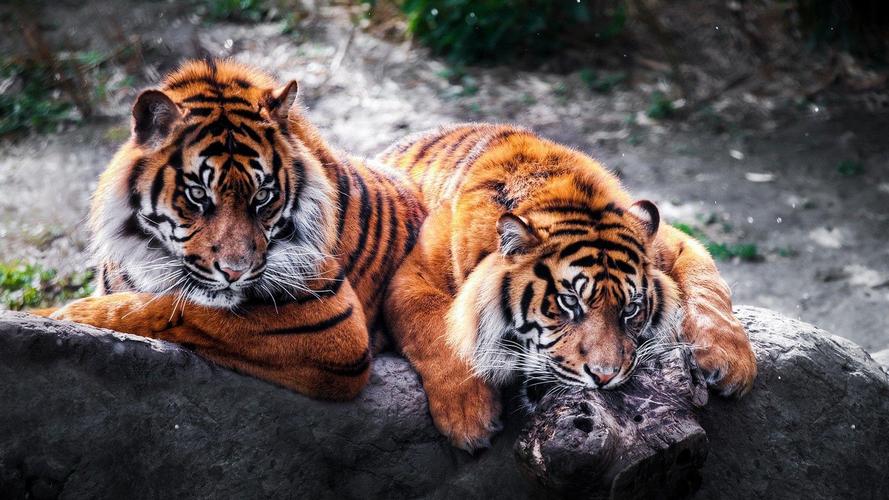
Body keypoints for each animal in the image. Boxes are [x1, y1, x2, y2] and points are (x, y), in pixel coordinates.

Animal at [44, 59, 425, 400]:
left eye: (262, 196)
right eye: (198, 194)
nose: (234, 272)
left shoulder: (331, 320)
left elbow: (178, 309)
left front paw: (73, 313)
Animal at [378, 123, 757, 450]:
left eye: (630, 309)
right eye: (568, 303)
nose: (604, 377)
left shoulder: (673, 243)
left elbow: (708, 285)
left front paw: (731, 362)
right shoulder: (409, 277)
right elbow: (439, 332)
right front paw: (469, 417)